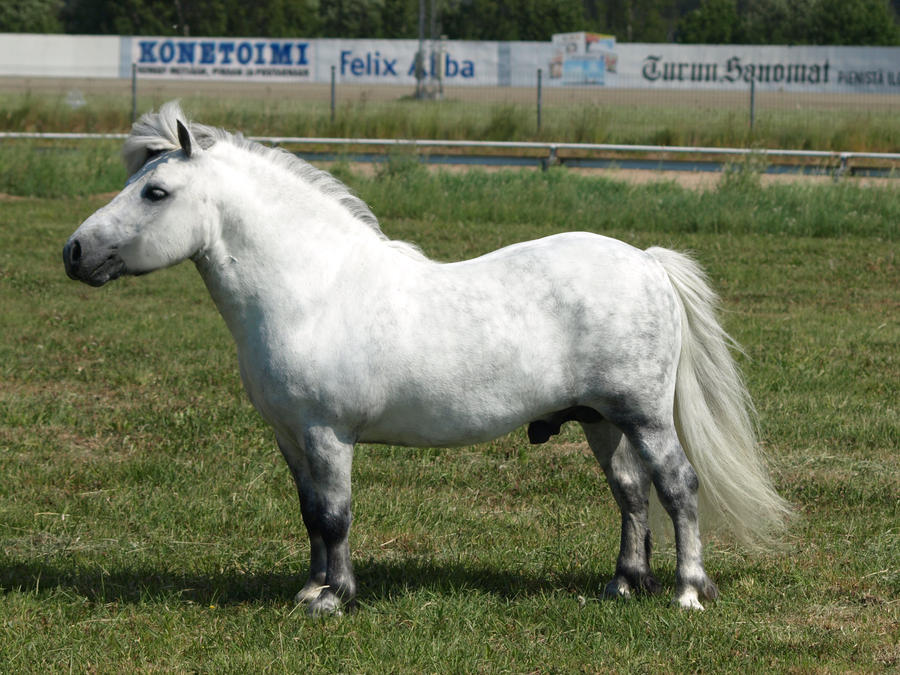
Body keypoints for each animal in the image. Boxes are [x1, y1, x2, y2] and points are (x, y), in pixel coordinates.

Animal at [65, 103, 788, 616]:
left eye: (155, 192)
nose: (74, 251)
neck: (313, 290)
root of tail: (646, 261)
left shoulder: (328, 435)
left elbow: (336, 514)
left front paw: (335, 598)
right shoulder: (290, 436)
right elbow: (310, 514)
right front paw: (309, 589)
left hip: (643, 416)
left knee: (678, 486)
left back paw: (688, 590)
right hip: (601, 419)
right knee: (631, 494)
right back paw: (622, 586)